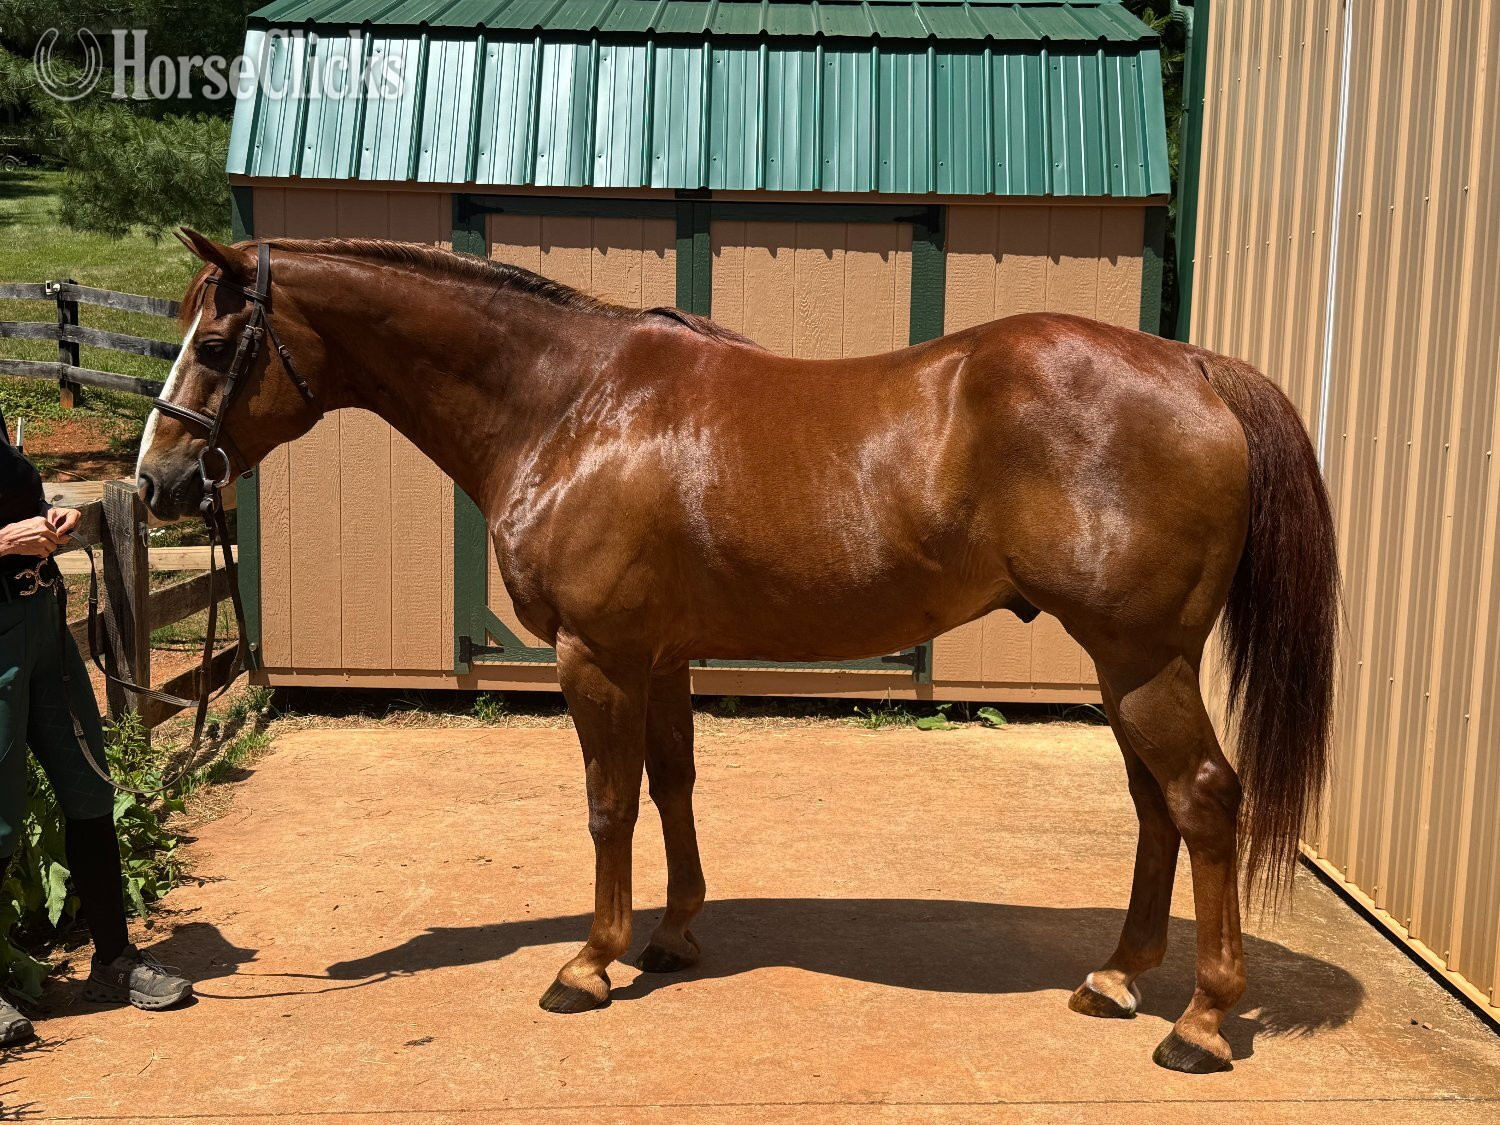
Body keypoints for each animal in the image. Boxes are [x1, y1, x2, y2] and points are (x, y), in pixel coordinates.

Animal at [137, 230, 1339, 1074]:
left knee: (1202, 799)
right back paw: (1117, 977)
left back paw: (1198, 1022)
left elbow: (609, 805)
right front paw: (670, 937)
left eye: (213, 346)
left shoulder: (596, 658)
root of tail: (1192, 365)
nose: (156, 485)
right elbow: (673, 786)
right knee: (1154, 808)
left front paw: (588, 963)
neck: (571, 406)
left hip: (1141, 662)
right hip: (1127, 665)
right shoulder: (660, 658)